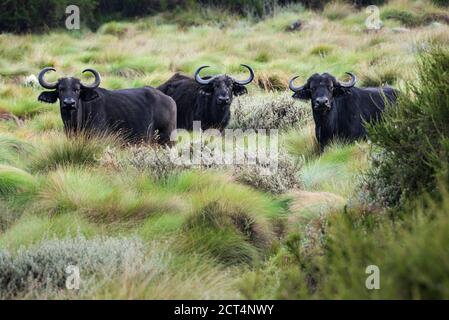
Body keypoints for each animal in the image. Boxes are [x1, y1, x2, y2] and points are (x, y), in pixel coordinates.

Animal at [37, 67, 177, 144]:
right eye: (60, 89)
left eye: (77, 89)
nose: (69, 103)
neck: (75, 123)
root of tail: (169, 100)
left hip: (166, 139)